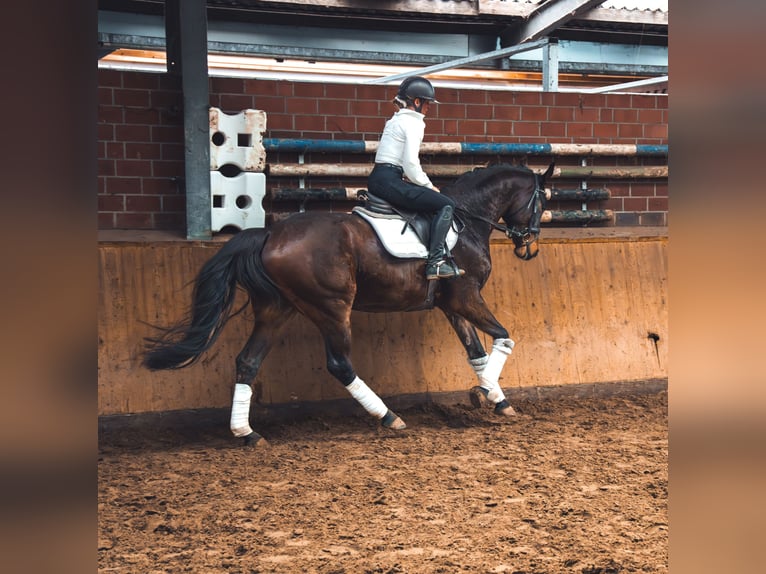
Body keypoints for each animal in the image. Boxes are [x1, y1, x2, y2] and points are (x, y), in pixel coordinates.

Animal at [144, 162, 556, 446]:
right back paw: (388, 416)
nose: (530, 248)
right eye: (541, 202)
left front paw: (497, 398)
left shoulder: (453, 303)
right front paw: (484, 393)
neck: (465, 223)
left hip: (277, 310)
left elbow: (477, 353)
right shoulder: (467, 296)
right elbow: (503, 337)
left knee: (248, 361)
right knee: (340, 364)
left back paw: (247, 433)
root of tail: (269, 235)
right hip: (331, 308)